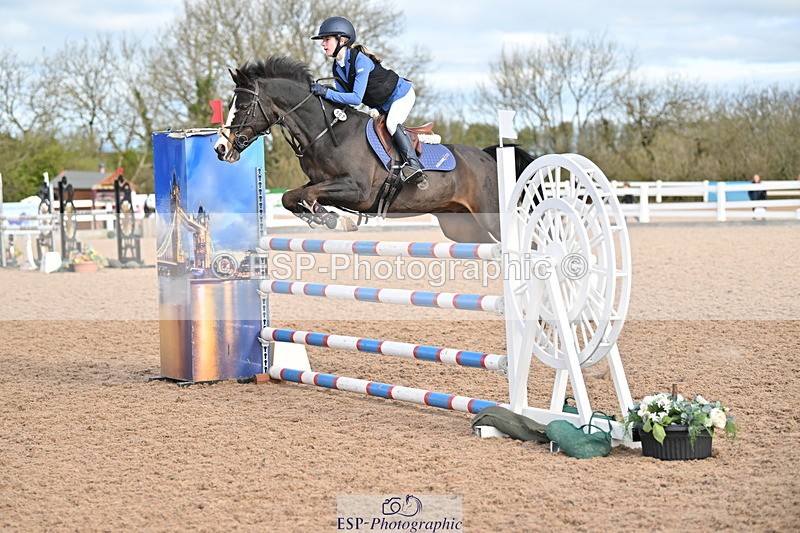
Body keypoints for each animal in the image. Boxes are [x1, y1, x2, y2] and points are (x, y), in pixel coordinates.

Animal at [214, 56, 524, 243]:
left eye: (243, 106)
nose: (220, 148)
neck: (327, 131)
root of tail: (488, 156)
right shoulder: (320, 181)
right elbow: (292, 196)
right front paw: (324, 217)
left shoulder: (358, 191)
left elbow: (309, 196)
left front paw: (335, 219)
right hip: (462, 225)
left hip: (490, 218)